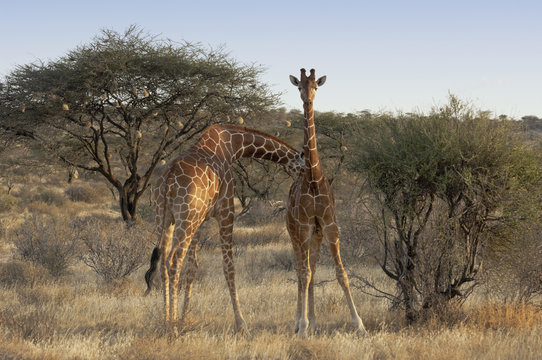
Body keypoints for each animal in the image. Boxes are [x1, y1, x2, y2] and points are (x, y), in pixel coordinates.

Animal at [144, 124, 306, 334]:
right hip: (185, 218)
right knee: (173, 260)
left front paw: (184, 317)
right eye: (303, 168)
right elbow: (229, 266)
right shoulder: (226, 209)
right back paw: (172, 328)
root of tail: (167, 180)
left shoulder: (202, 219)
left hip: (165, 218)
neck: (232, 146)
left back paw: (166, 320)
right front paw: (242, 324)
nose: (304, 184)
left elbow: (192, 267)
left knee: (164, 261)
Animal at [286, 68, 368, 338]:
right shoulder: (303, 226)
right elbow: (304, 274)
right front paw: (301, 328)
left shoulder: (329, 225)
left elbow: (341, 273)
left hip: (316, 234)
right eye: (299, 86)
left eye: (316, 86)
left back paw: (314, 322)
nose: (307, 100)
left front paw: (360, 325)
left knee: (310, 269)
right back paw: (299, 323)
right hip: (295, 232)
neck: (312, 178)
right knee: (301, 270)